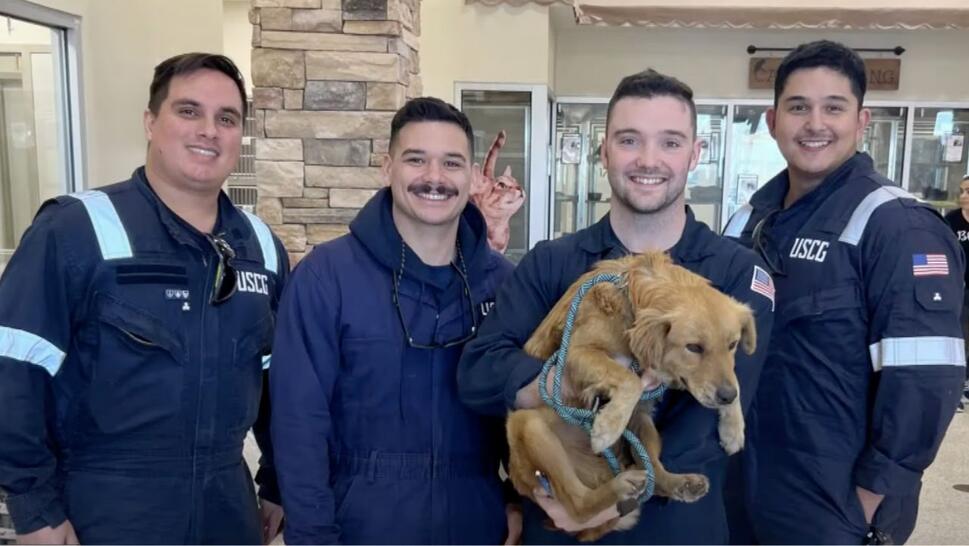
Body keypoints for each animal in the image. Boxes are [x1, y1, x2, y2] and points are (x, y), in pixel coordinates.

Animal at [506, 252, 756, 540]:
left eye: (732, 345)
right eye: (694, 347)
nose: (726, 397)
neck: (631, 301)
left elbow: (734, 377)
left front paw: (733, 429)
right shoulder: (575, 353)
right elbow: (631, 380)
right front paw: (607, 427)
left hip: (643, 424)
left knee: (654, 474)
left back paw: (679, 483)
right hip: (529, 424)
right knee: (578, 504)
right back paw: (620, 486)